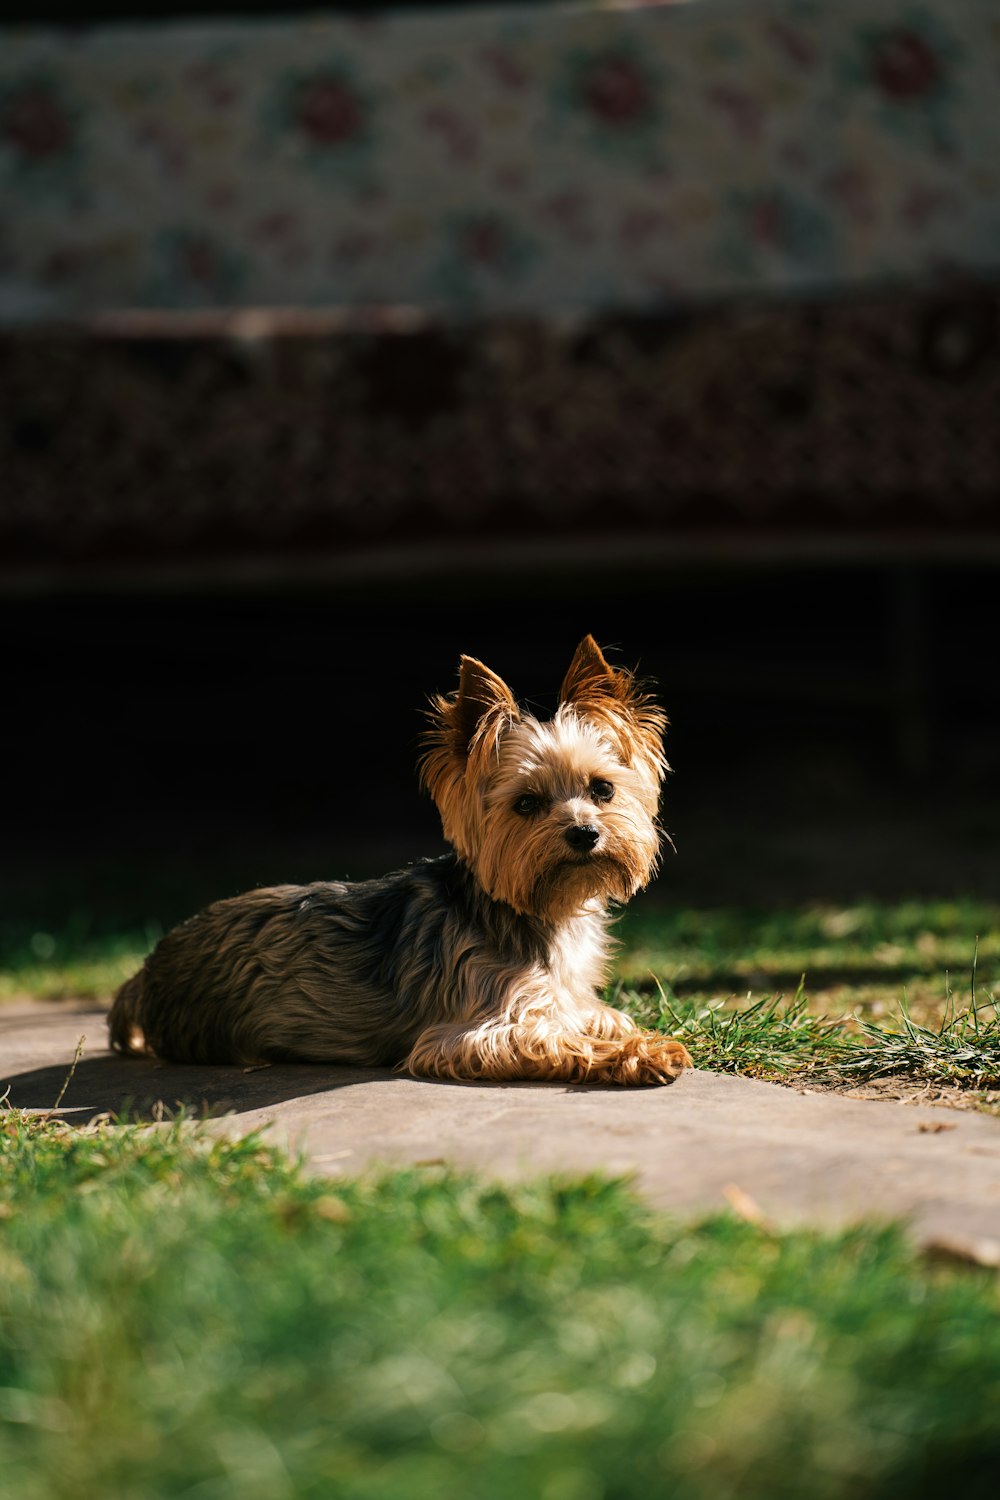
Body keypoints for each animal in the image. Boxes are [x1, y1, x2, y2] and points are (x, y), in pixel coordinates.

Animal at [107, 639, 689, 1086]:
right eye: (526, 804)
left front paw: (633, 1031)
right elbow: (557, 1040)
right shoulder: (469, 1032)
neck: (541, 911)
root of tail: (146, 971)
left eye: (602, 789)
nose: (585, 833)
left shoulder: (565, 997)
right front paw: (646, 1052)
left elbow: (600, 1016)